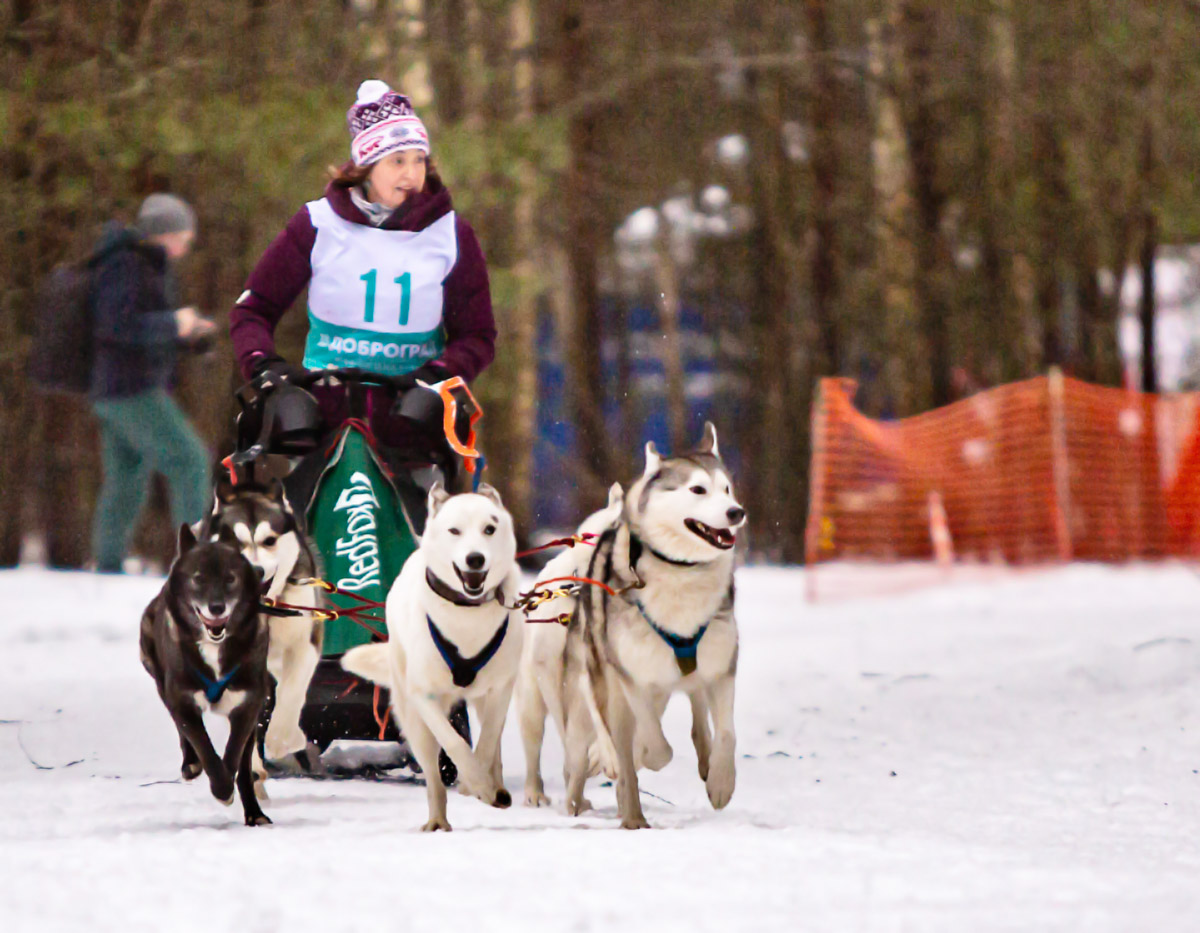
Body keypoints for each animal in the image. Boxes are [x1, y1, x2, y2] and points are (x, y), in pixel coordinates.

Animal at [139, 522, 271, 820]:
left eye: (230, 578)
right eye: (198, 579)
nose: (217, 607)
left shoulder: (248, 704)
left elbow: (234, 752)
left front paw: (227, 786)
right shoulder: (182, 700)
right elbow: (202, 745)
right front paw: (219, 786)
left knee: (245, 764)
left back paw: (254, 814)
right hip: (160, 680)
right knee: (183, 732)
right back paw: (191, 764)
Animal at [207, 479, 326, 772]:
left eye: (269, 540)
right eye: (234, 541)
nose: (255, 570)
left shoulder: (304, 644)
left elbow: (291, 692)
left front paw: (280, 739)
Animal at [340, 479, 523, 829]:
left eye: (489, 528)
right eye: (454, 530)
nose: (475, 558)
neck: (467, 614)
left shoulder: (501, 689)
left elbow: (487, 741)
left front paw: (481, 783)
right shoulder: (424, 696)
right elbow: (454, 743)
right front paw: (475, 783)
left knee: (492, 746)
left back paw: (496, 787)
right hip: (413, 721)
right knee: (433, 777)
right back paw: (438, 820)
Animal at [559, 419, 739, 820]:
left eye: (727, 489)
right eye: (698, 489)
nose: (737, 512)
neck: (681, 572)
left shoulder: (721, 667)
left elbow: (726, 732)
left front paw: (721, 781)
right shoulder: (633, 676)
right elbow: (655, 746)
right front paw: (631, 757)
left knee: (695, 710)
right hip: (591, 690)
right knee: (583, 754)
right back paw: (593, 790)